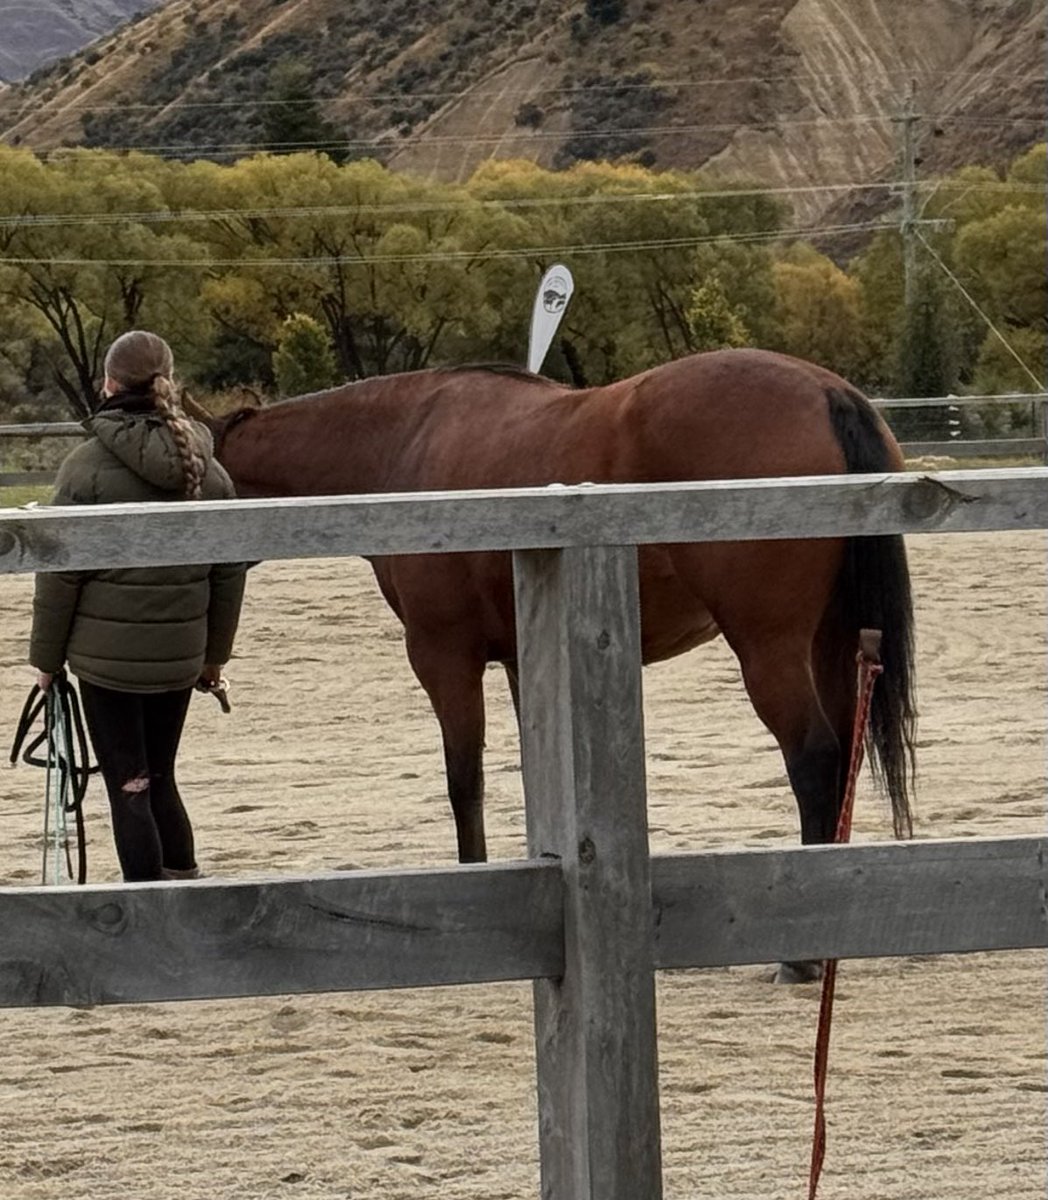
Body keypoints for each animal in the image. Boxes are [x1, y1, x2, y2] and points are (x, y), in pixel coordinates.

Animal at [201, 348, 916, 898]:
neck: (402, 444)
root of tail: (827, 391)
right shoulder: (523, 657)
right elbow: (534, 771)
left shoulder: (442, 655)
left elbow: (464, 778)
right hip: (832, 642)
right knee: (845, 751)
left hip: (768, 647)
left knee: (814, 754)